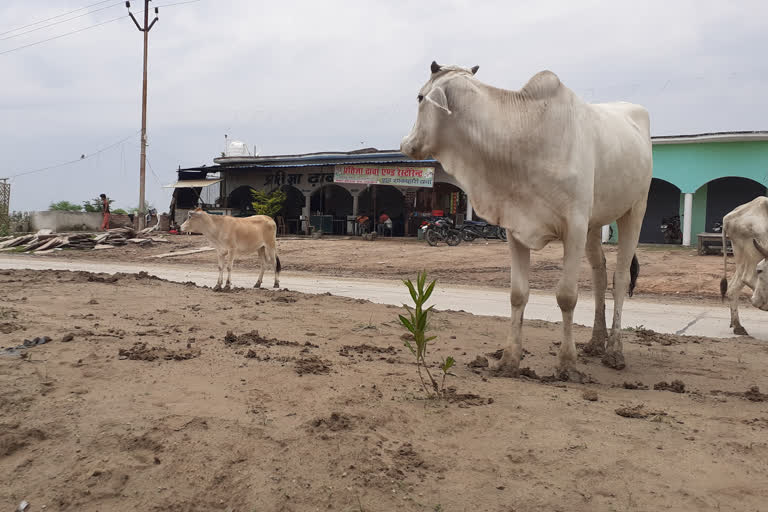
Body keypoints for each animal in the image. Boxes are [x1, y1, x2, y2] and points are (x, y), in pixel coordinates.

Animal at [400, 63, 652, 376]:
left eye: (420, 97)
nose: (406, 144)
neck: (526, 134)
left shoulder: (575, 226)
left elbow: (566, 296)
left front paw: (567, 363)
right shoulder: (515, 226)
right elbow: (518, 294)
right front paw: (509, 360)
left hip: (634, 209)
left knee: (619, 278)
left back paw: (615, 350)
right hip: (595, 224)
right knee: (600, 273)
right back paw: (596, 342)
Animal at [720, 194, 768, 334]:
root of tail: (729, 218)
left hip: (742, 257)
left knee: (733, 286)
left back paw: (737, 325)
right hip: (754, 253)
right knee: (747, 278)